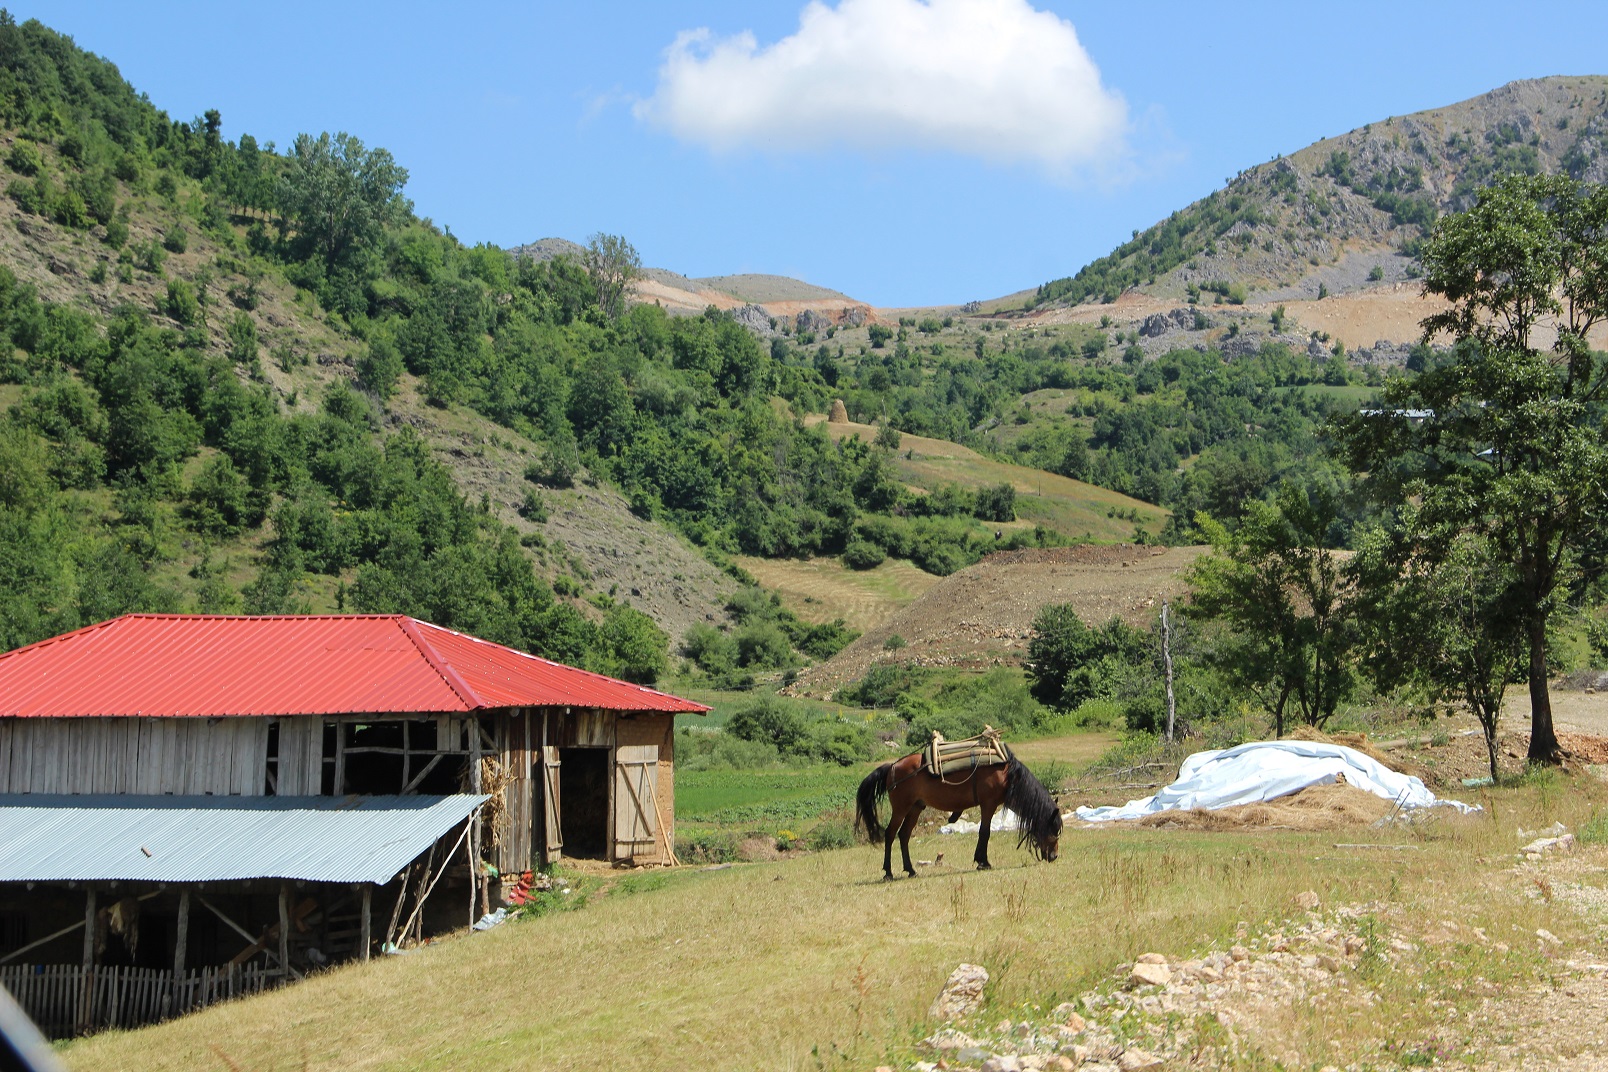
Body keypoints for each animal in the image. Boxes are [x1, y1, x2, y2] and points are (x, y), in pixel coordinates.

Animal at [854, 744, 1062, 880]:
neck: (1006, 775)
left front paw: (981, 860)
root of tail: (892, 767)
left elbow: (983, 833)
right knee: (890, 834)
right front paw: (983, 862)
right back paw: (888, 872)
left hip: (915, 807)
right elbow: (984, 832)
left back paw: (911, 870)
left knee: (904, 835)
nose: (1054, 856)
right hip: (901, 808)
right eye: (1054, 830)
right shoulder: (988, 804)